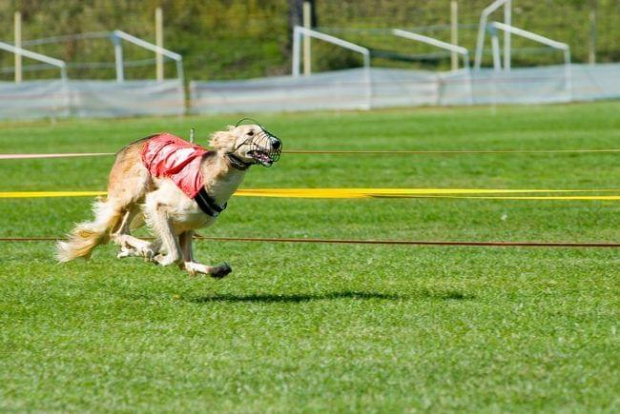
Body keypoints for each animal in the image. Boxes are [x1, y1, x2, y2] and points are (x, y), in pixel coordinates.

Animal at [55, 123, 284, 278]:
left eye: (264, 130)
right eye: (250, 133)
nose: (277, 143)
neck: (213, 177)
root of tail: (126, 148)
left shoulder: (188, 224)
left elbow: (187, 260)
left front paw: (217, 269)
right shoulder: (159, 205)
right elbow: (175, 256)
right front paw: (156, 257)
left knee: (124, 233)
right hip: (136, 191)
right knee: (117, 232)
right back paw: (142, 249)